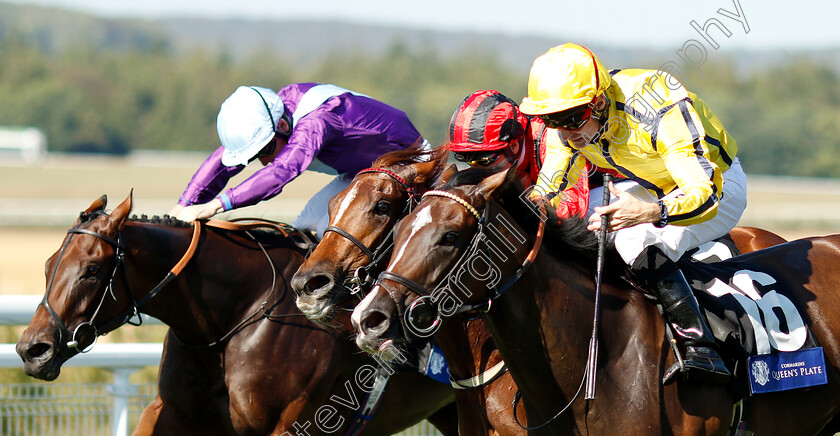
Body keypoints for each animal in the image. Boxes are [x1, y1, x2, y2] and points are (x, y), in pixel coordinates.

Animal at [14, 194, 460, 436]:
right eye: (49, 265)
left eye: (91, 270)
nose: (31, 350)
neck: (228, 320)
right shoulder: (172, 411)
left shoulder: (291, 421)